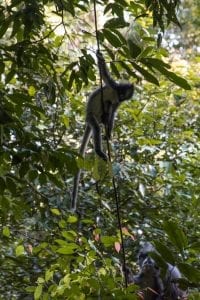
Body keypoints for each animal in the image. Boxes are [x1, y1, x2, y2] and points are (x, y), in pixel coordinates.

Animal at [71, 51, 134, 211]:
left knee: (107, 108)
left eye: (126, 98)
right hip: (91, 117)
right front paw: (99, 56)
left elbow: (113, 113)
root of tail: (89, 118)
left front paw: (109, 133)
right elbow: (104, 74)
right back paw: (99, 150)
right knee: (97, 125)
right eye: (124, 94)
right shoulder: (114, 86)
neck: (117, 94)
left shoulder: (117, 101)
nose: (122, 98)